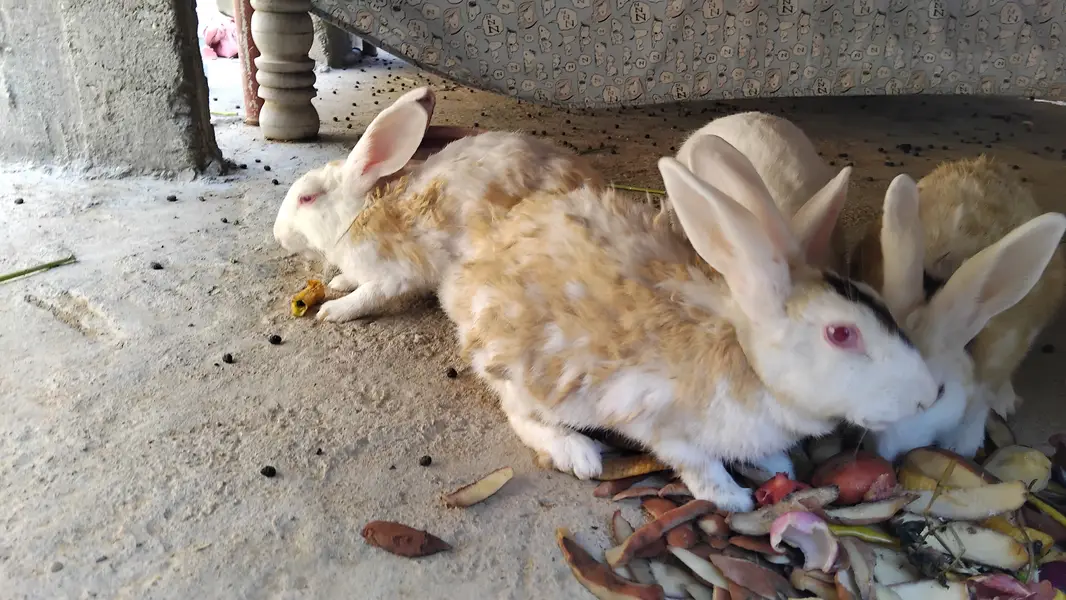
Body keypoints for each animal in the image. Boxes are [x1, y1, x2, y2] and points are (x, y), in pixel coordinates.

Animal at [273, 86, 605, 323]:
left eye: (307, 198)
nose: (277, 235)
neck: (356, 216)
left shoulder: (394, 275)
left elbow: (369, 295)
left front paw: (332, 311)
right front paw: (341, 281)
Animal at [439, 135, 939, 512]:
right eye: (841, 334)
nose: (929, 395)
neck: (748, 360)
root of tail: (469, 272)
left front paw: (778, 467)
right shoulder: (664, 425)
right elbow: (700, 465)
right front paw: (733, 498)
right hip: (525, 373)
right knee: (519, 413)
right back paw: (578, 453)